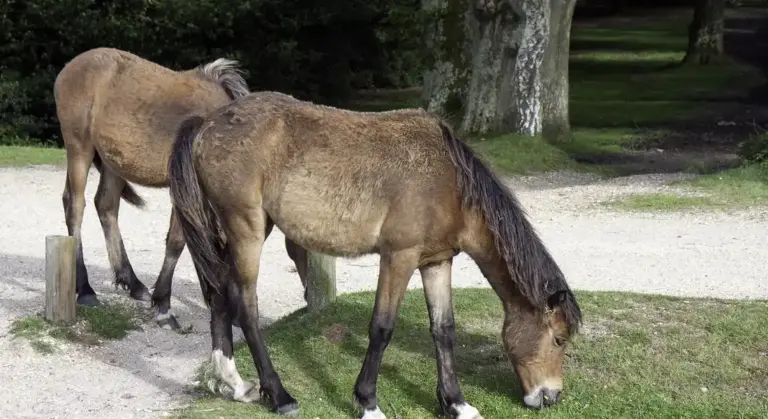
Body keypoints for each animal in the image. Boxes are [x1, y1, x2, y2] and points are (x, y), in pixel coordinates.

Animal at [53, 48, 311, 329]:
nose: (309, 296)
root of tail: (72, 65)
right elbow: (177, 243)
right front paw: (165, 306)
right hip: (80, 147)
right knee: (75, 207)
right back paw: (86, 289)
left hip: (113, 163)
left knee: (106, 206)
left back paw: (133, 283)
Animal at [167, 91, 583, 418]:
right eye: (559, 339)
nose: (550, 396)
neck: (448, 181)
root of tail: (207, 124)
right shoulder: (399, 257)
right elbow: (382, 328)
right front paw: (367, 402)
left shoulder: (436, 261)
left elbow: (444, 330)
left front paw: (456, 403)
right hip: (246, 230)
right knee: (244, 304)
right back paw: (280, 395)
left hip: (233, 232)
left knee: (219, 294)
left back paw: (234, 383)